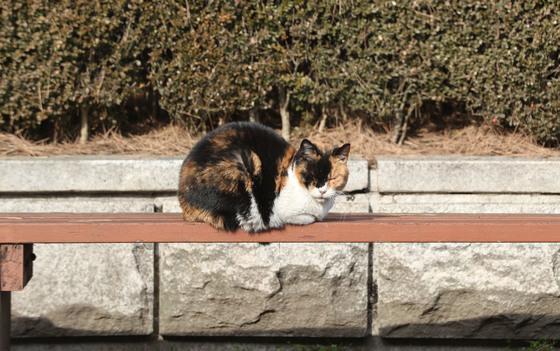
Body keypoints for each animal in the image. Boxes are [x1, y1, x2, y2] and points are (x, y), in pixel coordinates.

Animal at [178, 122, 350, 232]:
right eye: (311, 176)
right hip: (245, 162)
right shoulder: (283, 210)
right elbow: (308, 218)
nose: (322, 190)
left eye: (332, 178)